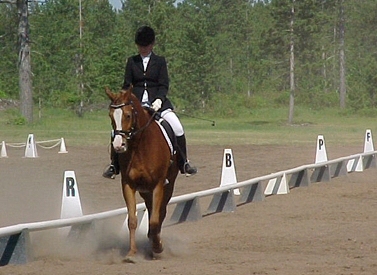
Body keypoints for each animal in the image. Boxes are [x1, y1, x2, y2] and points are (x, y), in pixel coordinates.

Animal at [104, 87, 178, 264]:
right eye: (111, 115)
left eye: (128, 115)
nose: (118, 145)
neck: (140, 147)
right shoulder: (128, 185)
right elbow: (132, 220)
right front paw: (131, 254)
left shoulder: (158, 185)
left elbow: (156, 219)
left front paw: (158, 247)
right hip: (145, 191)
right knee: (152, 210)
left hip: (168, 185)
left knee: (160, 212)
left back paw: (156, 244)